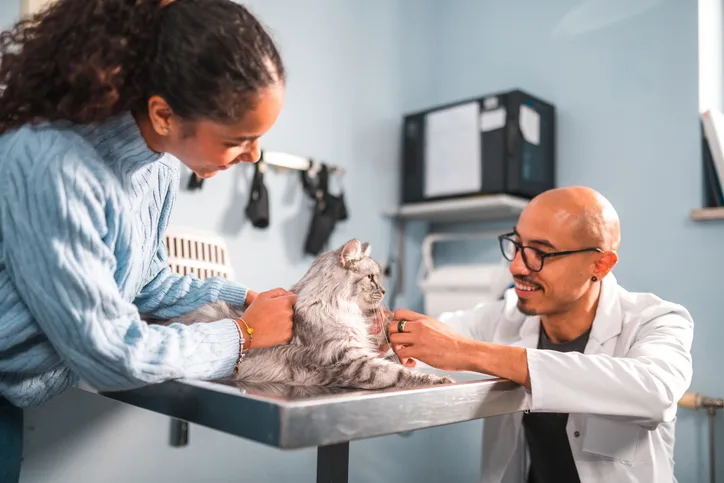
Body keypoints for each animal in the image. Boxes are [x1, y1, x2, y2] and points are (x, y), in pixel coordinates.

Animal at [168, 240, 456, 392]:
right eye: (372, 278)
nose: (385, 291)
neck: (336, 306)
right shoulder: (352, 362)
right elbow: (398, 373)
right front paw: (439, 379)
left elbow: (392, 359)